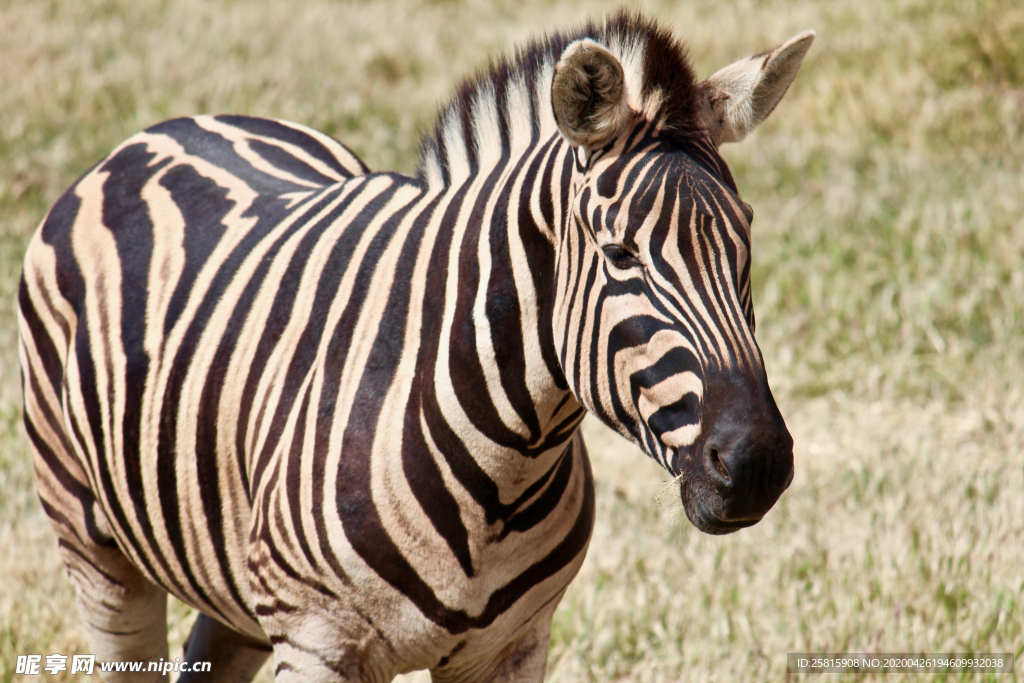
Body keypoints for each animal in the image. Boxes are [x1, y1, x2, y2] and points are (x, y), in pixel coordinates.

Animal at [18, 10, 815, 683]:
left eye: (745, 246)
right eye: (621, 255)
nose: (756, 464)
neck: (502, 472)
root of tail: (168, 128)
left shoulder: (510, 650)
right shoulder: (317, 644)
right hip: (95, 546)